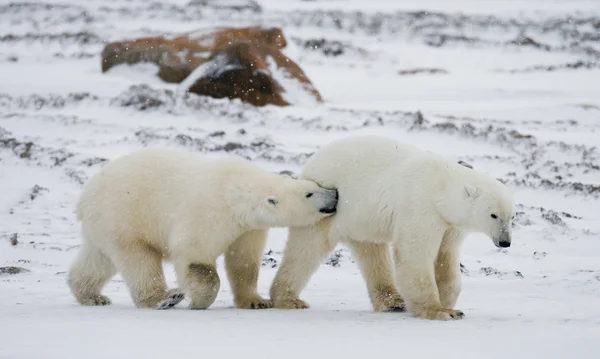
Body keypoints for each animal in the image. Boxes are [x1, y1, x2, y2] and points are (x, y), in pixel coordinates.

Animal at [68, 148, 340, 310]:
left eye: (316, 185)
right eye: (310, 193)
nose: (335, 194)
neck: (235, 191)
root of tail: (84, 196)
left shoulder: (247, 228)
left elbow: (244, 261)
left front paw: (256, 301)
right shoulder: (208, 210)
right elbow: (195, 256)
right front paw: (198, 301)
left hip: (104, 223)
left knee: (98, 258)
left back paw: (91, 295)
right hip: (124, 214)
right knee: (138, 259)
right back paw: (164, 298)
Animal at [270, 135, 516, 320]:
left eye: (511, 216)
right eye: (493, 215)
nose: (505, 242)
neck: (441, 187)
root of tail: (312, 161)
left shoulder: (450, 224)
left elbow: (446, 255)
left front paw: (449, 302)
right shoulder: (420, 206)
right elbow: (415, 253)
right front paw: (439, 311)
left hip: (362, 218)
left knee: (372, 252)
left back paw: (393, 301)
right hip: (325, 207)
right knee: (306, 248)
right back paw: (288, 299)